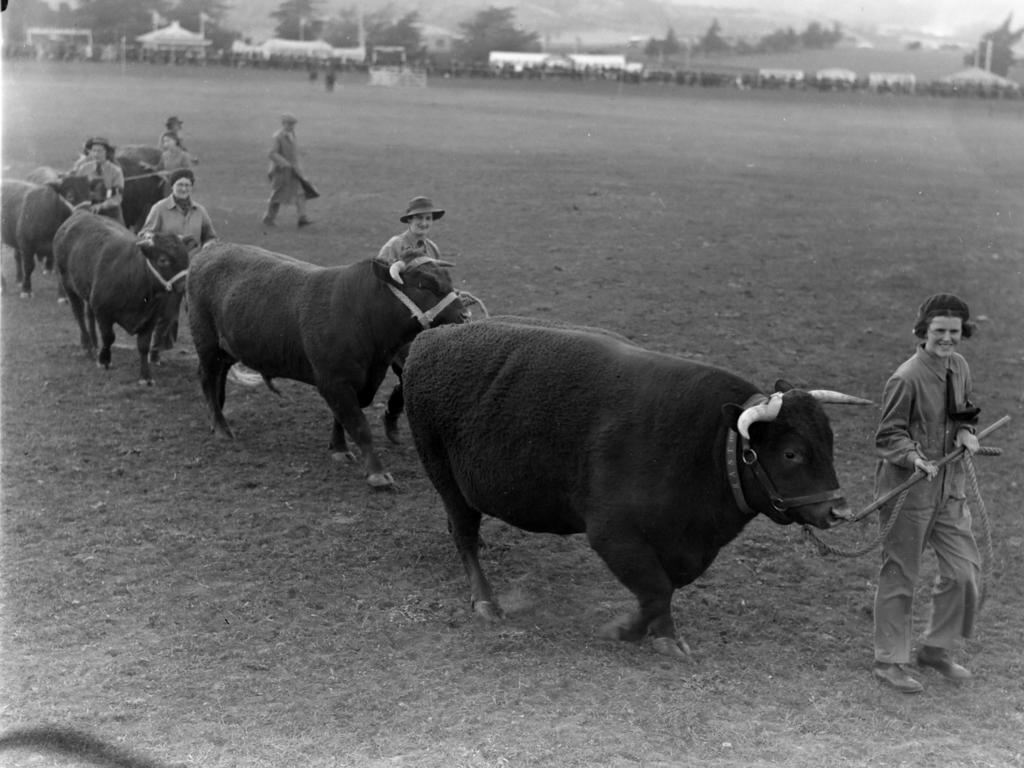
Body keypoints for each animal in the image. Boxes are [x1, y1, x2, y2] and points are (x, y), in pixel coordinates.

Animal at [54, 211, 190, 385]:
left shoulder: (151, 318)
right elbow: (108, 337)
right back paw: (87, 345)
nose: (185, 285)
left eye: (186, 257)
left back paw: (94, 342)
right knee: (79, 314)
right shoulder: (103, 312)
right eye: (163, 259)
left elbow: (143, 345)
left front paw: (145, 376)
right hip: (68, 285)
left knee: (89, 314)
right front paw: (104, 360)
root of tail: (79, 214)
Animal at [186, 243, 466, 489]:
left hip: (225, 349)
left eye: (447, 279)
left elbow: (341, 418)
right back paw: (221, 428)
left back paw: (218, 415)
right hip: (206, 344)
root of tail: (210, 250)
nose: (464, 315)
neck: (360, 313)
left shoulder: (359, 381)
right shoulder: (334, 381)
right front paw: (377, 473)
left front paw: (339, 448)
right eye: (423, 284)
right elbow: (358, 425)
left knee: (219, 378)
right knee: (207, 379)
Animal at [401, 319, 872, 663]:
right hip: (447, 479)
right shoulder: (613, 533)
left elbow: (664, 588)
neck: (705, 445)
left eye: (830, 442)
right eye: (792, 453)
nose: (839, 512)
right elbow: (656, 589)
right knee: (463, 535)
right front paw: (625, 630)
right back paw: (486, 601)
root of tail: (430, 339)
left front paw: (660, 635)